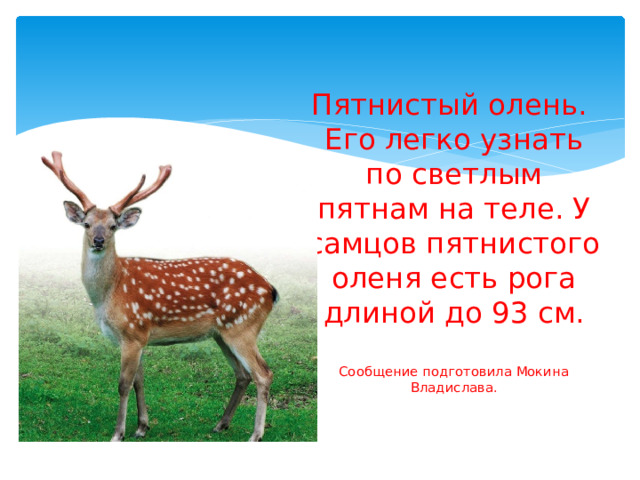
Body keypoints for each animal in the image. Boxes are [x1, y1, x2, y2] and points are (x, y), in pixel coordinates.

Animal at [42, 151, 277, 442]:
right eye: (86, 224)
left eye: (112, 226)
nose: (98, 241)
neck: (108, 294)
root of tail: (270, 289)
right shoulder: (138, 336)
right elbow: (139, 381)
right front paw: (142, 426)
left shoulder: (132, 331)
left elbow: (123, 384)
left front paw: (118, 433)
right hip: (222, 333)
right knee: (242, 374)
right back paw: (221, 424)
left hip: (243, 327)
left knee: (263, 373)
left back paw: (255, 434)